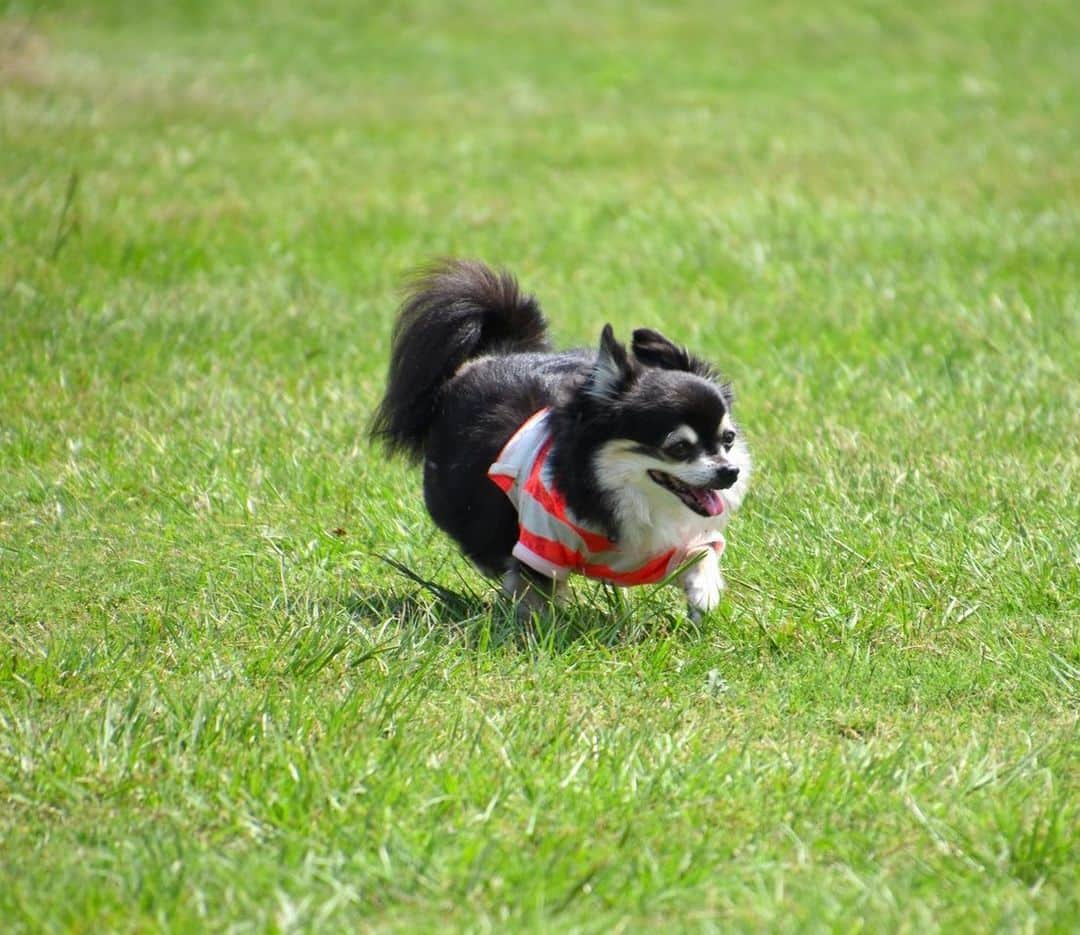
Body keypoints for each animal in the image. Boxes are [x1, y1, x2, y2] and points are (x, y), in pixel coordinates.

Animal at [371, 259, 751, 617]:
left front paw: (704, 594)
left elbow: (702, 556)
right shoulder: (539, 543)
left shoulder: (662, 550)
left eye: (728, 439)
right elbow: (533, 590)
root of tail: (501, 351)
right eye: (679, 447)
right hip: (462, 499)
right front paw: (538, 628)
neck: (623, 493)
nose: (729, 472)